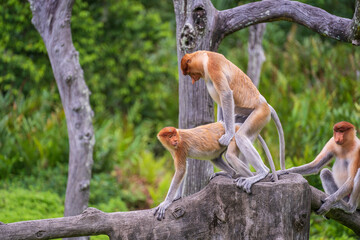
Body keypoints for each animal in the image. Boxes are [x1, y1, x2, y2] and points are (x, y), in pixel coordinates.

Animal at [181, 50, 286, 193]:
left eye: (190, 73)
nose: (193, 80)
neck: (205, 57)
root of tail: (264, 103)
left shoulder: (213, 66)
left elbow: (225, 94)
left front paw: (228, 135)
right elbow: (221, 99)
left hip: (260, 114)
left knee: (241, 137)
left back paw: (260, 173)